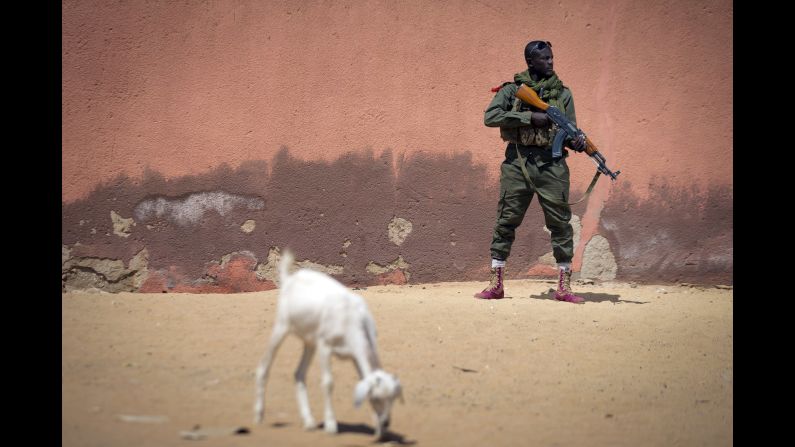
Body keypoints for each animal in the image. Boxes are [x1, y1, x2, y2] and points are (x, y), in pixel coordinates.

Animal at [255, 252, 404, 440]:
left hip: (310, 342)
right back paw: (259, 414)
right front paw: (331, 425)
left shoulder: (354, 354)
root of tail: (290, 278)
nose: (386, 423)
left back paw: (309, 421)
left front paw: (379, 430)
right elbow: (328, 383)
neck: (351, 318)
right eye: (376, 397)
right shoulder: (325, 347)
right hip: (282, 327)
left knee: (299, 374)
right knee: (263, 367)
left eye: (393, 398)